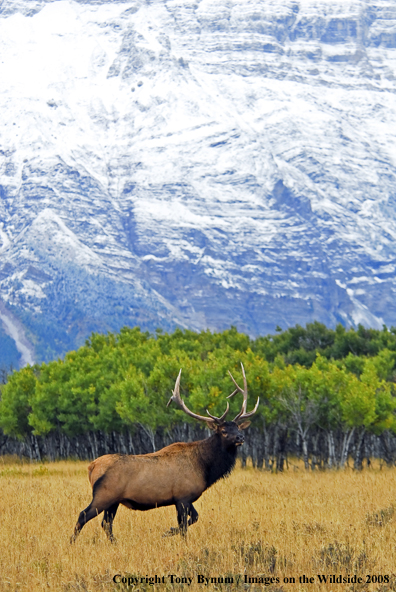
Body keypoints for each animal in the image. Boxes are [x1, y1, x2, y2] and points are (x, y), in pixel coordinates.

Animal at [69, 360, 258, 540]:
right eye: (224, 431)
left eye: (238, 428)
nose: (240, 438)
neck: (205, 468)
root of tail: (92, 466)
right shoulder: (182, 497)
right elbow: (185, 525)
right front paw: (171, 534)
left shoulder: (183, 499)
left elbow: (192, 519)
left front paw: (169, 531)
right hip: (104, 495)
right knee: (83, 515)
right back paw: (72, 542)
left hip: (113, 501)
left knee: (106, 523)